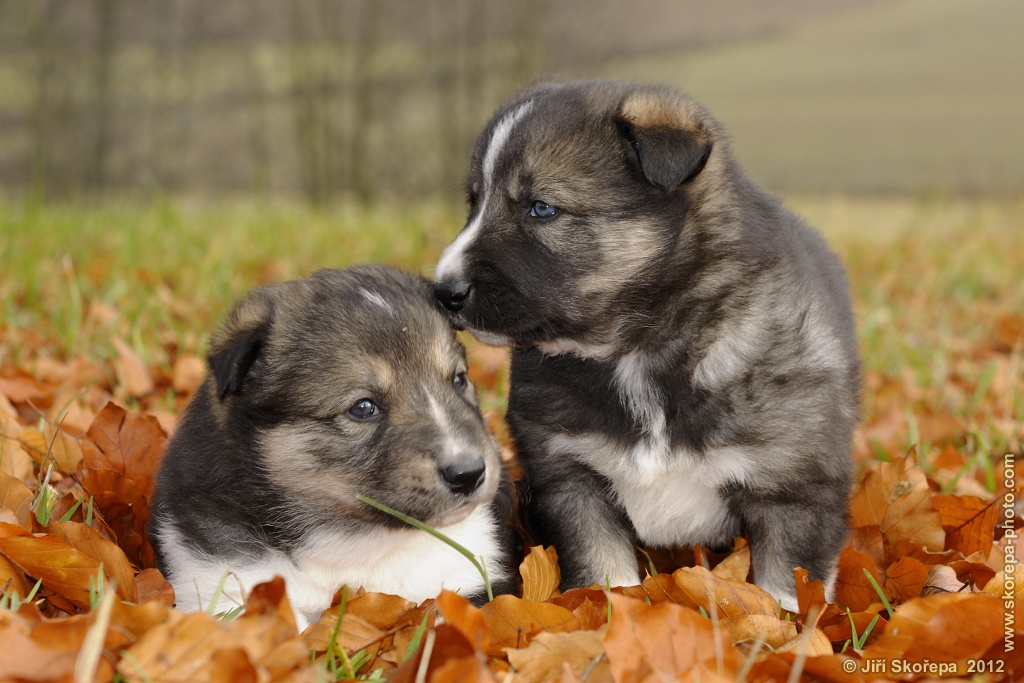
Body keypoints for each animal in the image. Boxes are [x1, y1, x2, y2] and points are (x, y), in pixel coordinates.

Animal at [149, 264, 520, 630]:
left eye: (459, 379)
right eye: (363, 407)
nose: (469, 474)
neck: (355, 542)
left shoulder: (468, 574)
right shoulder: (222, 576)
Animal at [432, 78, 856, 610]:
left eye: (541, 207)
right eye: (473, 203)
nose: (443, 291)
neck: (636, 349)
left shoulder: (794, 487)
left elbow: (785, 591)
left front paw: (783, 630)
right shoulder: (571, 476)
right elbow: (604, 572)